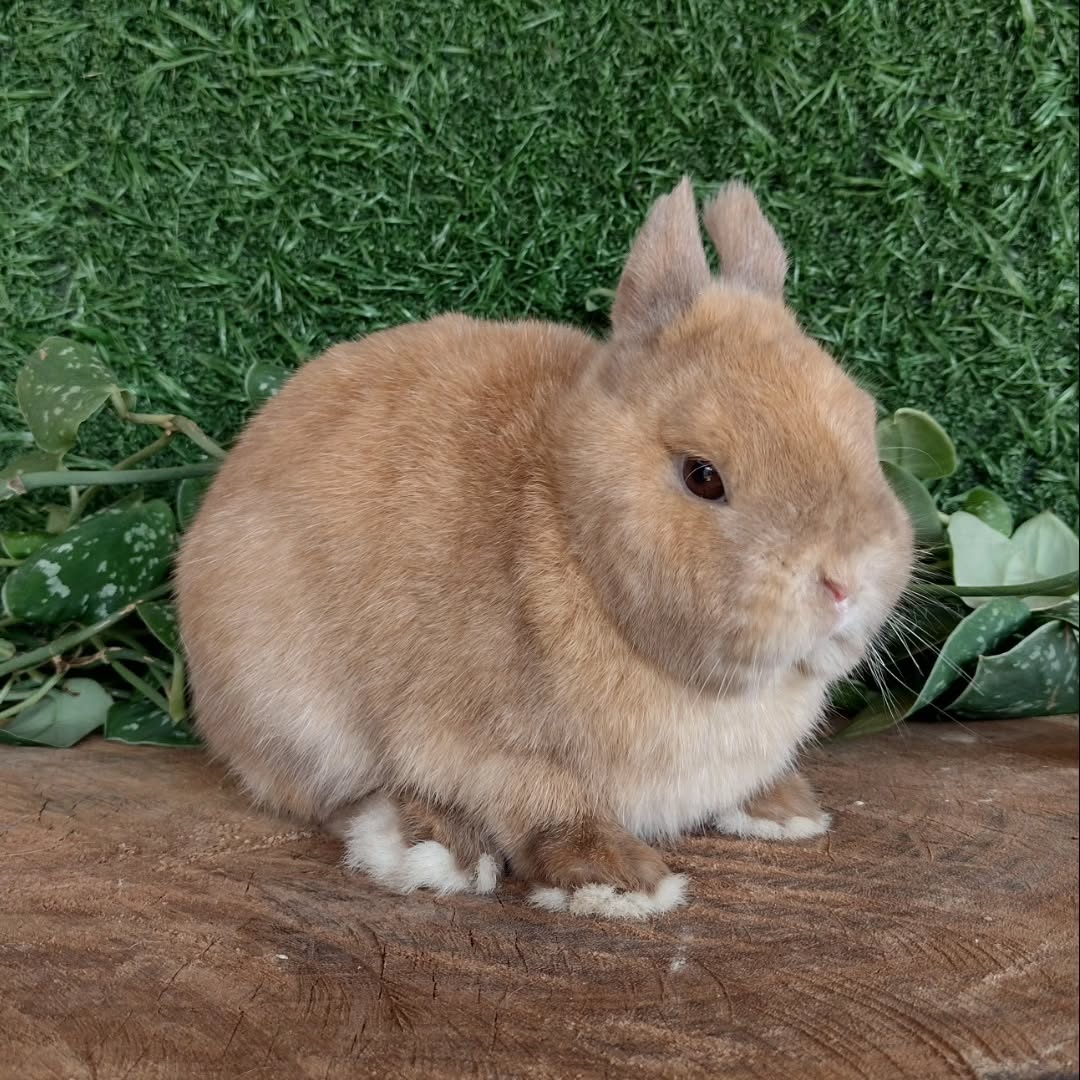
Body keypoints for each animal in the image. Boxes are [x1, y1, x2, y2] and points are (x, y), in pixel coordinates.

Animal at [175, 178, 914, 920]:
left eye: (865, 424)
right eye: (703, 476)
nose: (846, 581)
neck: (577, 539)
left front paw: (785, 812)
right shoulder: (492, 748)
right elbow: (551, 810)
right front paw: (619, 884)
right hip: (296, 711)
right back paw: (435, 849)